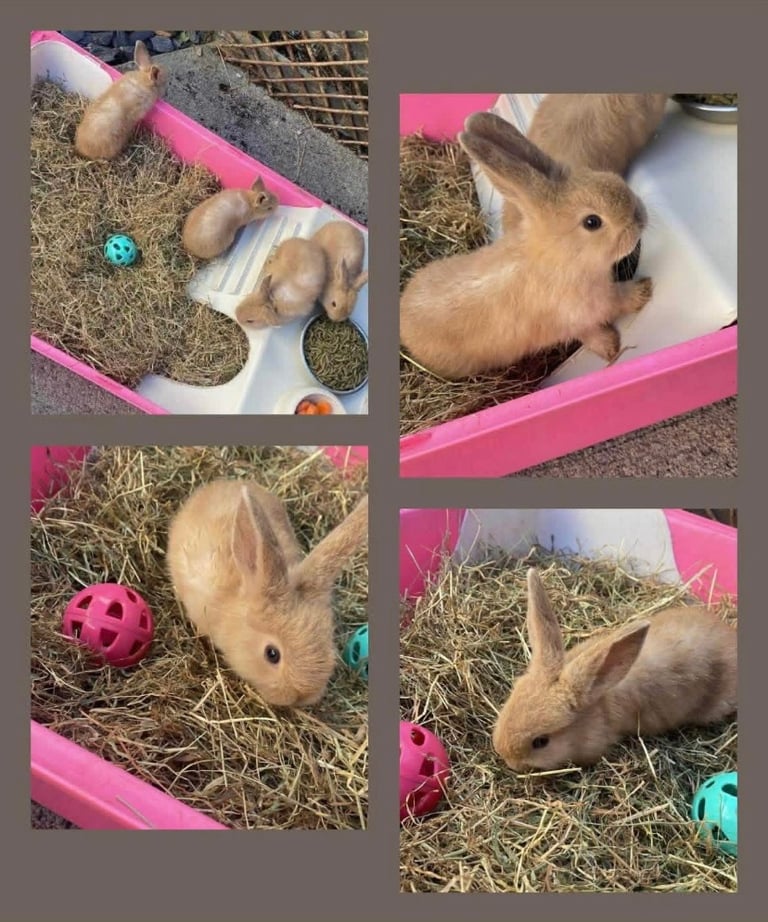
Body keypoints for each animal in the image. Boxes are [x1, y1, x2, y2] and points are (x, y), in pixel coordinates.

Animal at [399, 112, 653, 379]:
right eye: (592, 222)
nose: (640, 216)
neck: (560, 255)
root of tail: (403, 322)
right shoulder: (581, 313)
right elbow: (603, 318)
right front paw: (618, 336)